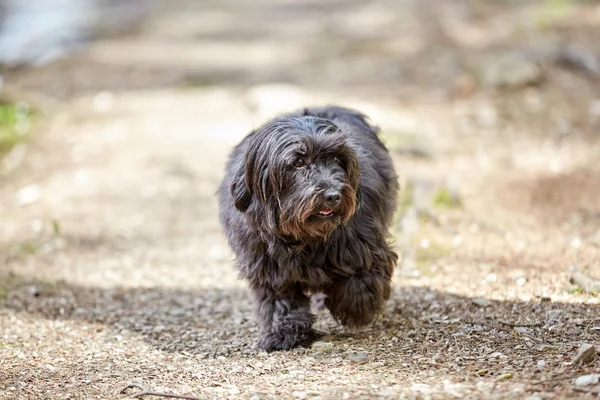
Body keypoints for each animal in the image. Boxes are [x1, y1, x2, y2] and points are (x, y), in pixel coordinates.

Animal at [219, 105, 398, 350]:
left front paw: (355, 308)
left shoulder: (363, 244)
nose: (333, 195)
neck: (305, 236)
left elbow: (361, 277)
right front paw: (283, 333)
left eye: (337, 159)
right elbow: (280, 301)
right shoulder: (268, 265)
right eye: (298, 162)